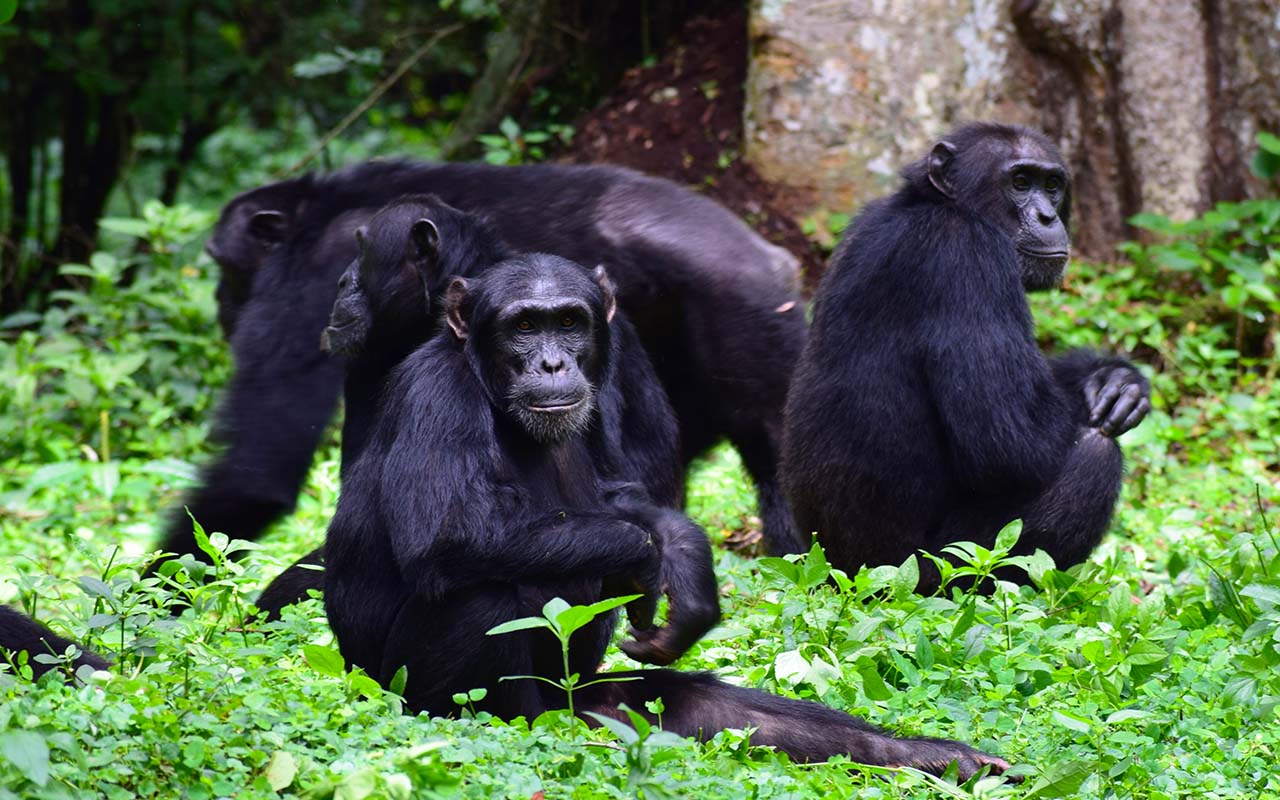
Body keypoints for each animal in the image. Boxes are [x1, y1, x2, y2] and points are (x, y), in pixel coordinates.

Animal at [322, 252, 1008, 778]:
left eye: (568, 322)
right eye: (523, 326)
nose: (552, 362)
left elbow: (625, 493)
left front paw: (683, 558)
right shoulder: (436, 396)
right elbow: (447, 536)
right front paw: (647, 563)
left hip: (589, 697)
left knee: (688, 704)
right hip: (407, 690)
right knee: (483, 595)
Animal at [778, 120, 1152, 593]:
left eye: (1051, 185)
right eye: (1020, 182)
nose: (1047, 216)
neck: (937, 205)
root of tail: (830, 574)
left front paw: (1114, 379)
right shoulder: (967, 258)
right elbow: (1016, 440)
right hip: (941, 571)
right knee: (1093, 454)